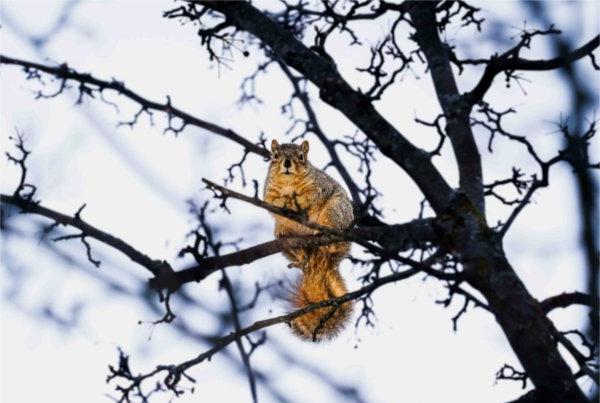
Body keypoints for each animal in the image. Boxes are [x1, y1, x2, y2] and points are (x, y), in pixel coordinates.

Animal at [262, 140, 354, 342]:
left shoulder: (319, 186)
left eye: (301, 157)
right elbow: (271, 201)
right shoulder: (268, 192)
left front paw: (296, 202)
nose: (287, 163)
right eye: (275, 156)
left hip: (335, 211)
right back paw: (301, 256)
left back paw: (326, 237)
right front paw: (284, 202)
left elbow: (312, 196)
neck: (289, 184)